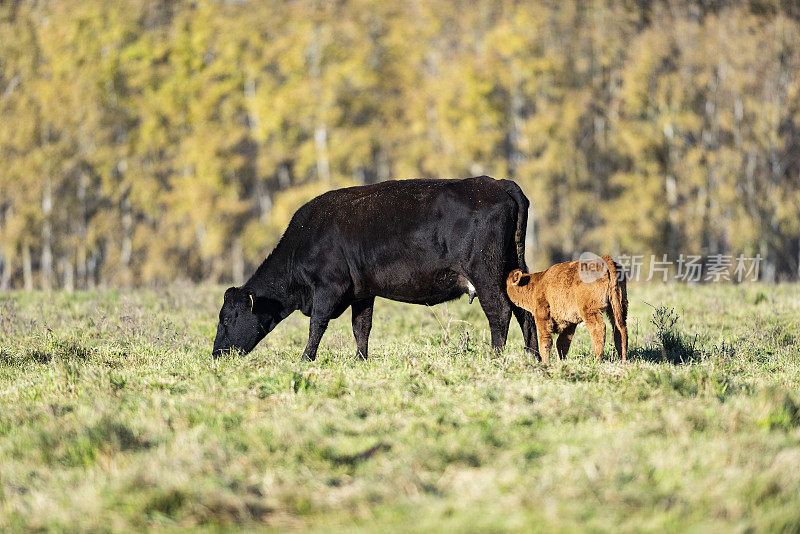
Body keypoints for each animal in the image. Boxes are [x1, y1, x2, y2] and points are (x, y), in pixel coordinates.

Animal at [212, 178, 536, 362]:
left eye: (227, 318)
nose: (216, 355)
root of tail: (498, 183)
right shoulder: (362, 291)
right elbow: (361, 327)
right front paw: (361, 360)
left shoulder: (328, 287)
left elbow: (317, 324)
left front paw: (305, 359)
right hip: (513, 268)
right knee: (524, 310)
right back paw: (533, 356)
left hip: (484, 271)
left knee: (499, 310)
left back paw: (495, 357)